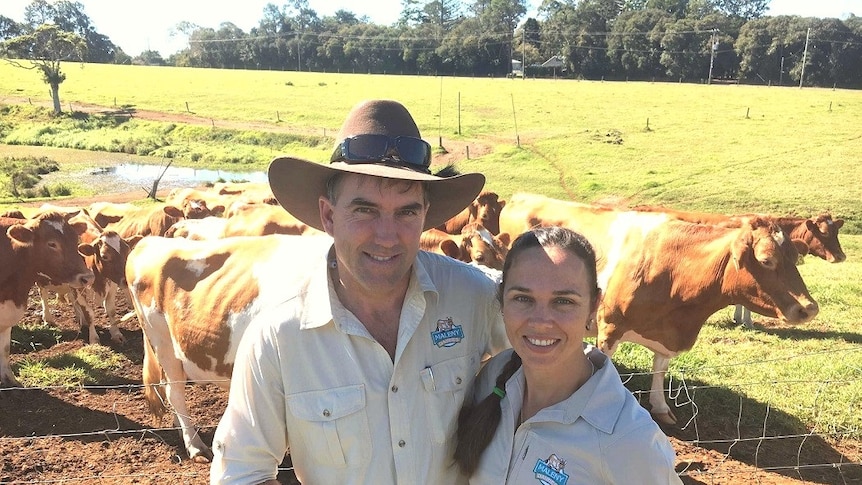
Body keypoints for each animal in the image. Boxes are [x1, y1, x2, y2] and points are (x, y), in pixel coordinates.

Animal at [500, 193, 816, 424]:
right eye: (766, 260)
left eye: (795, 257)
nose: (809, 308)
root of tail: (521, 196)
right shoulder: (609, 327)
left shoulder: (669, 335)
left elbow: (660, 369)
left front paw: (661, 406)